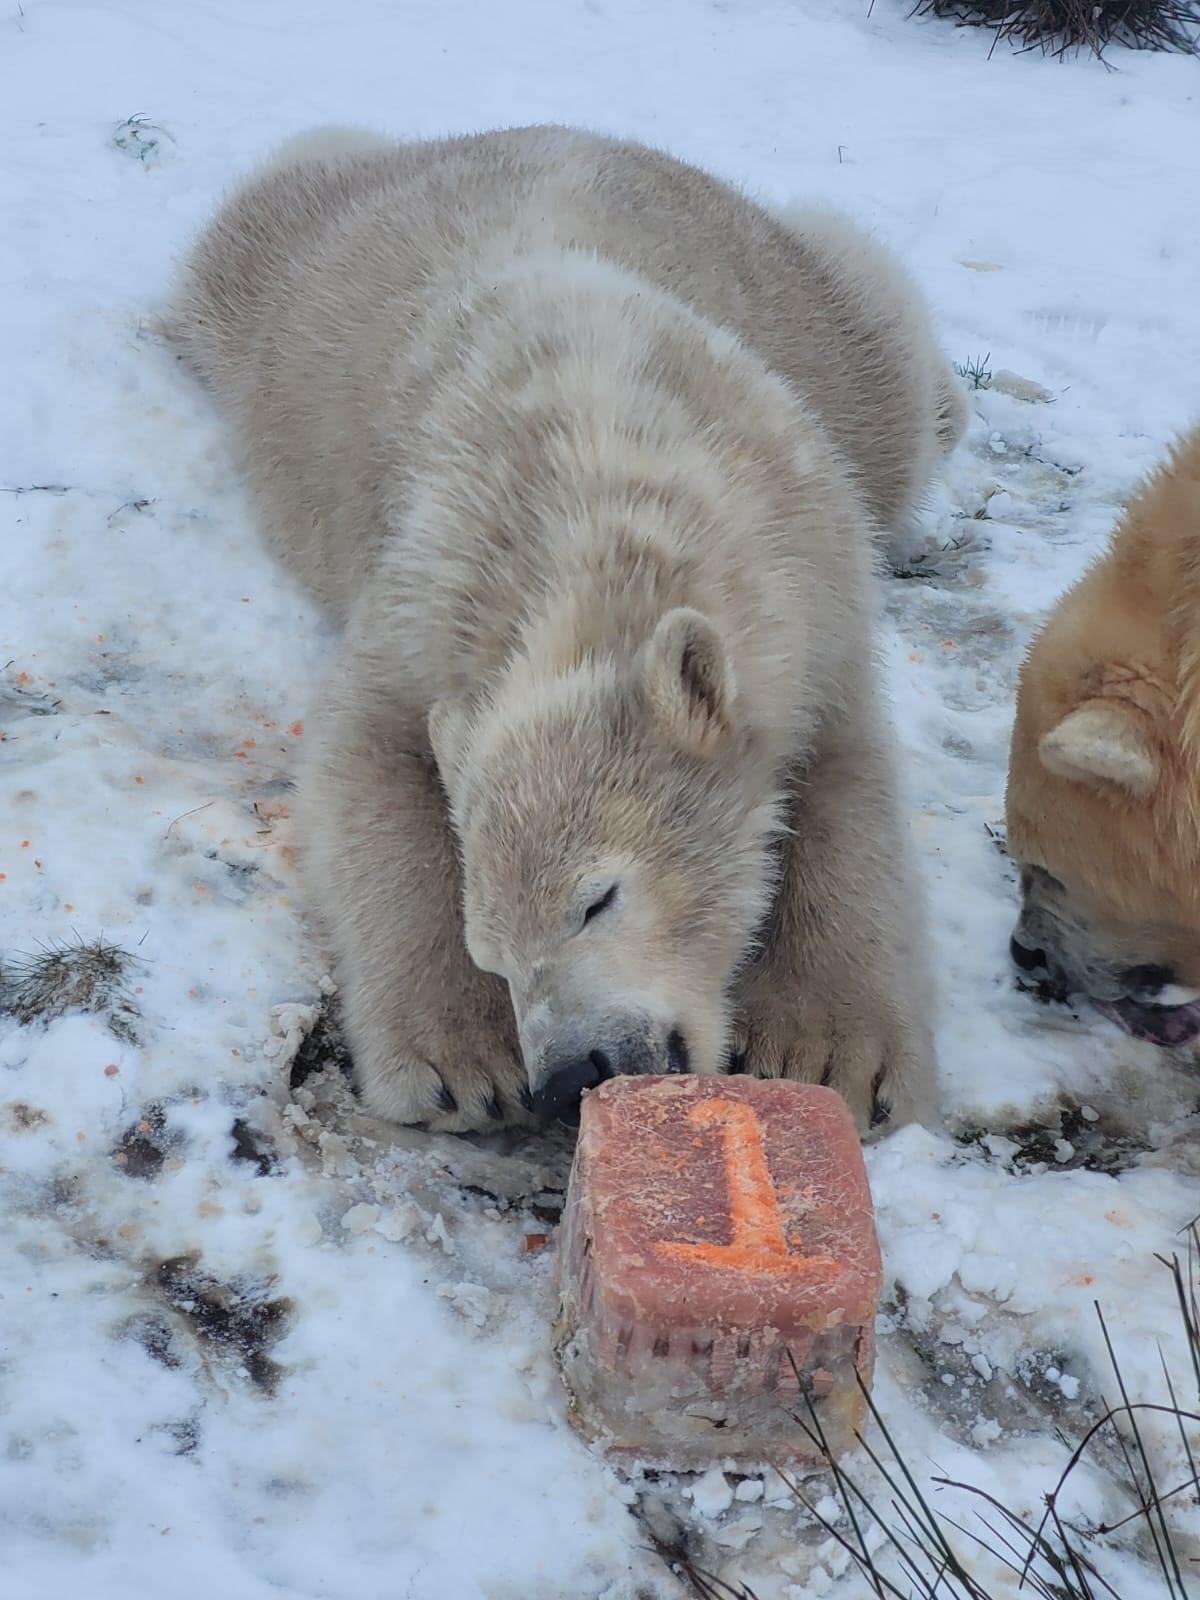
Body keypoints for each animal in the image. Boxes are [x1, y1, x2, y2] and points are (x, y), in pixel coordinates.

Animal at [173, 128, 966, 1139]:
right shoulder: (429, 587)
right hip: (277, 276)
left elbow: (849, 787)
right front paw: (460, 1067)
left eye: (597, 900)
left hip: (818, 318)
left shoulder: (813, 576)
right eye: (491, 952)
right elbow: (367, 760)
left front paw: (833, 1056)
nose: (571, 1073)